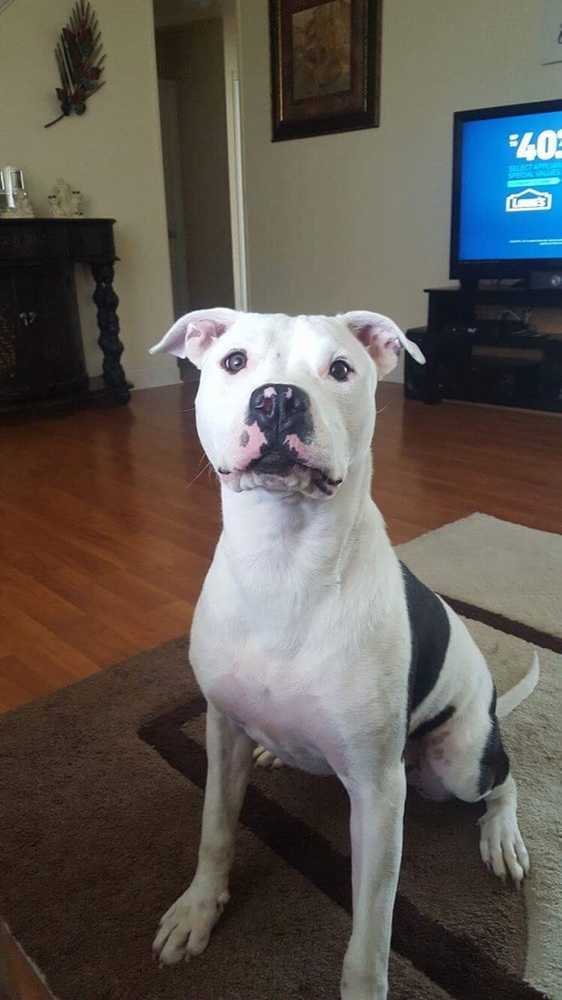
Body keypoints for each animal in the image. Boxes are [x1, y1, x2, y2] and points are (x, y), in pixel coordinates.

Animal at [148, 308, 532, 996]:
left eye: (341, 369)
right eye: (234, 361)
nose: (278, 400)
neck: (283, 562)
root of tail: (490, 708)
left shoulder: (379, 797)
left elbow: (370, 932)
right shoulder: (222, 730)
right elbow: (215, 829)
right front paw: (198, 910)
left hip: (458, 763)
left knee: (503, 779)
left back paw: (502, 838)